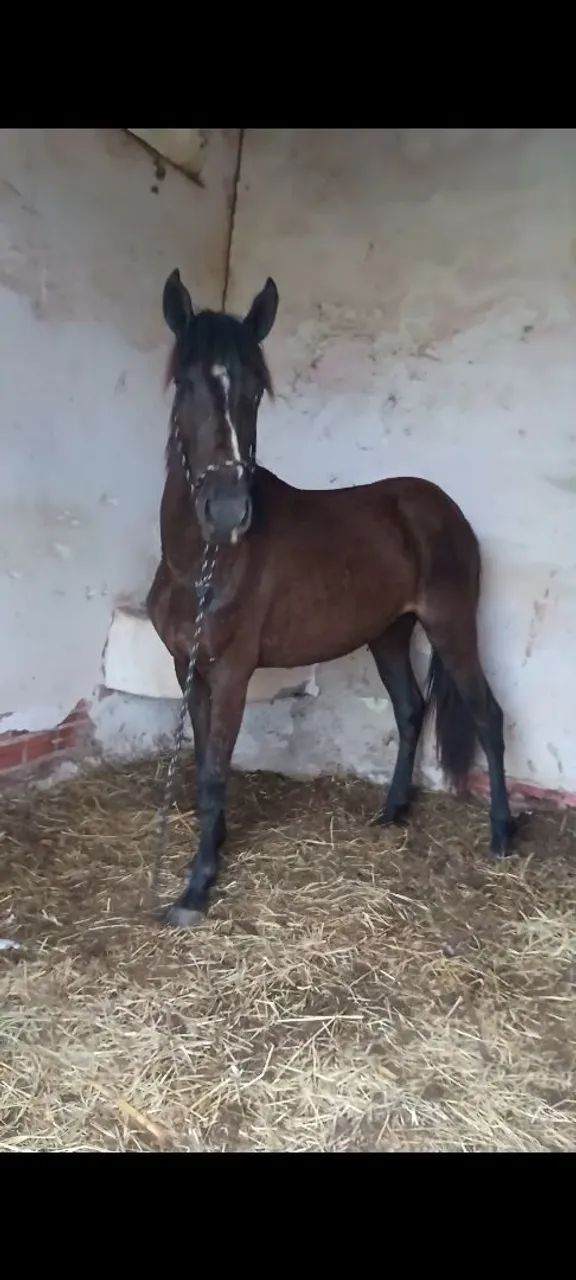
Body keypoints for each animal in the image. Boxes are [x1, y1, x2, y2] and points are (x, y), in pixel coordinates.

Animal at [147, 268, 518, 928]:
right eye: (184, 383)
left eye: (255, 391)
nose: (228, 512)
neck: (203, 565)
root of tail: (443, 508)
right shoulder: (185, 667)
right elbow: (201, 764)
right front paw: (213, 847)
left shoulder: (233, 673)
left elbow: (214, 771)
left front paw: (196, 888)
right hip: (389, 634)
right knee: (410, 711)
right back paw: (393, 812)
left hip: (452, 627)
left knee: (487, 717)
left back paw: (501, 835)